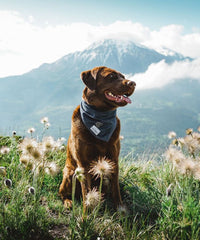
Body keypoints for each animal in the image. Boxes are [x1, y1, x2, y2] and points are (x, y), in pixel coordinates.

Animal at [59, 66, 136, 209]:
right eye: (111, 76)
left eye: (123, 76)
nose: (133, 83)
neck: (100, 116)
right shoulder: (83, 165)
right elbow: (86, 192)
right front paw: (86, 213)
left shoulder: (113, 161)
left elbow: (116, 190)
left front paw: (120, 209)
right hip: (69, 173)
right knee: (63, 193)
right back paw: (68, 202)